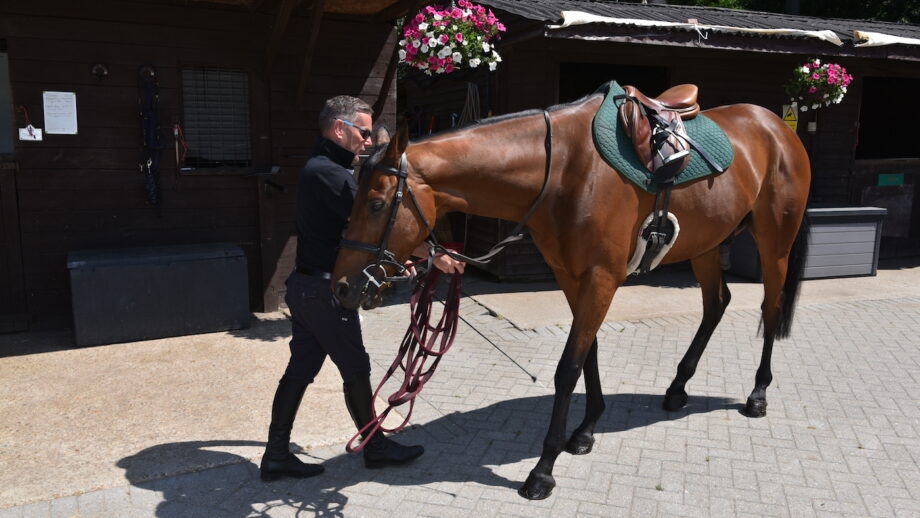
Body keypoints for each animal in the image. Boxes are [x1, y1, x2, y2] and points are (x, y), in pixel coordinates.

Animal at [331, 90, 810, 500]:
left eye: (376, 204)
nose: (341, 288)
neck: (563, 168)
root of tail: (777, 127)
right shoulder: (571, 276)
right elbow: (589, 353)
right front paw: (585, 431)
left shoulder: (602, 277)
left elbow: (568, 367)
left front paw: (543, 469)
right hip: (707, 245)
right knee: (716, 304)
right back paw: (677, 388)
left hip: (774, 243)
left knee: (770, 308)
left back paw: (757, 394)